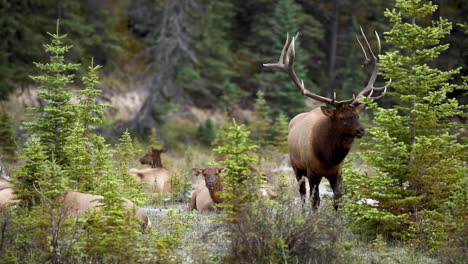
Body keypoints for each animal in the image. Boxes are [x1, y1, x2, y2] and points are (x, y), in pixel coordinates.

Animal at [266, 27, 390, 209]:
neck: (328, 157)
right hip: (296, 167)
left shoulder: (337, 171)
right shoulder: (312, 171)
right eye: (342, 118)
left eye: (357, 115)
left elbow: (338, 199)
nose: (361, 130)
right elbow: (315, 201)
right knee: (302, 194)